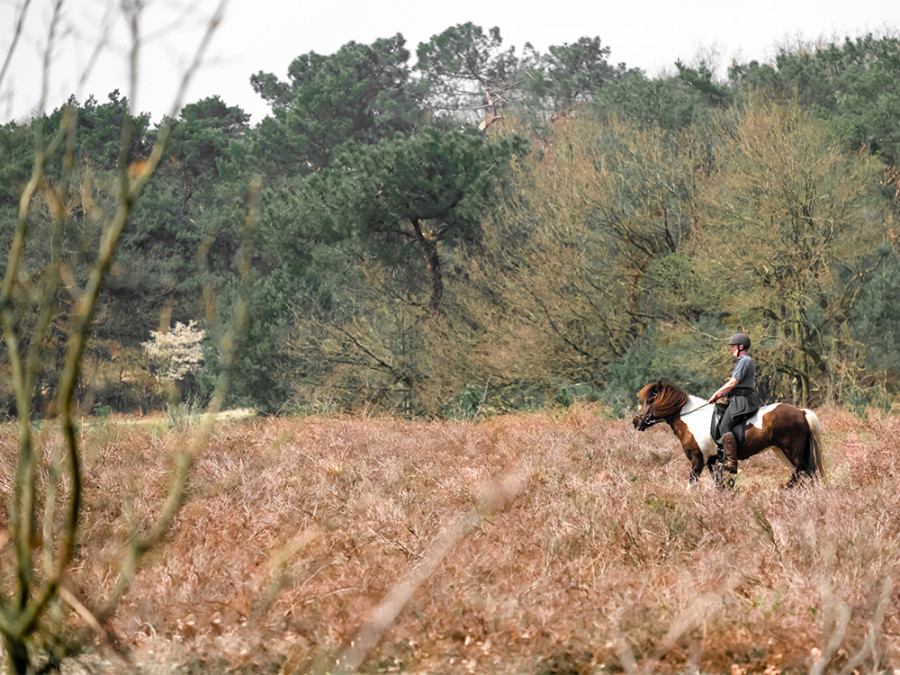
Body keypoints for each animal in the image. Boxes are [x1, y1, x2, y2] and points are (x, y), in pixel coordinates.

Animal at [632, 380, 824, 486]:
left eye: (651, 400)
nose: (636, 422)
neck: (693, 419)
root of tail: (801, 412)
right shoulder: (712, 461)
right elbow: (719, 486)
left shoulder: (698, 460)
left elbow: (692, 484)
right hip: (784, 452)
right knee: (807, 473)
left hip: (792, 451)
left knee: (802, 471)